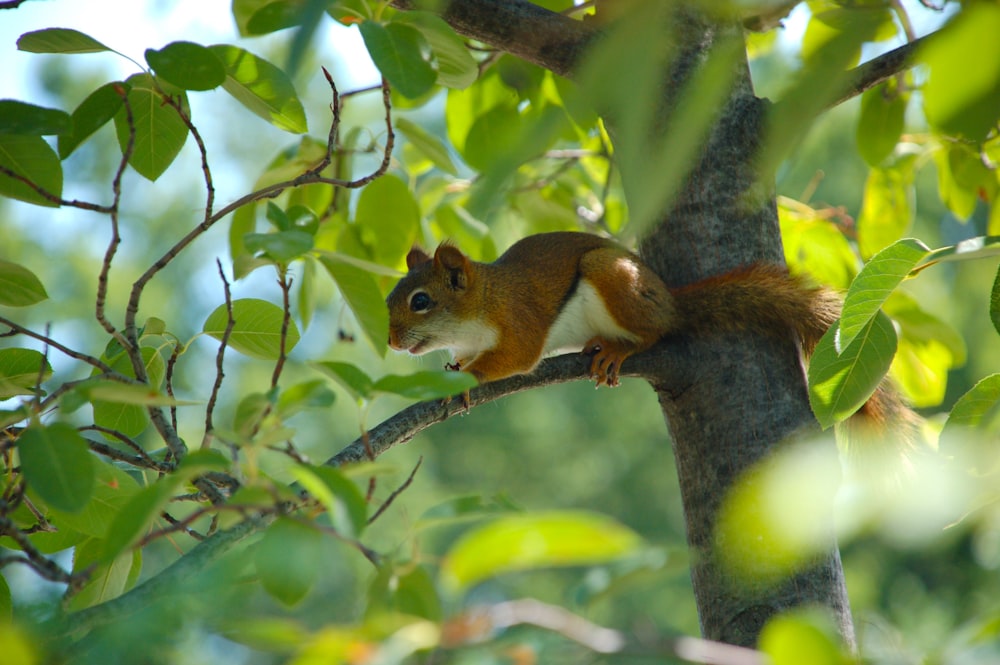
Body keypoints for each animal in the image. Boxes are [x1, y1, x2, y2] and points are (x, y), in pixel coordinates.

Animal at [386, 231, 916, 444]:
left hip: (614, 279)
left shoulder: (518, 322)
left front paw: (467, 382)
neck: (479, 307)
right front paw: (453, 374)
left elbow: (516, 357)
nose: (390, 342)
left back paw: (619, 349)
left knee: (656, 333)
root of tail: (669, 300)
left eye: (421, 301)